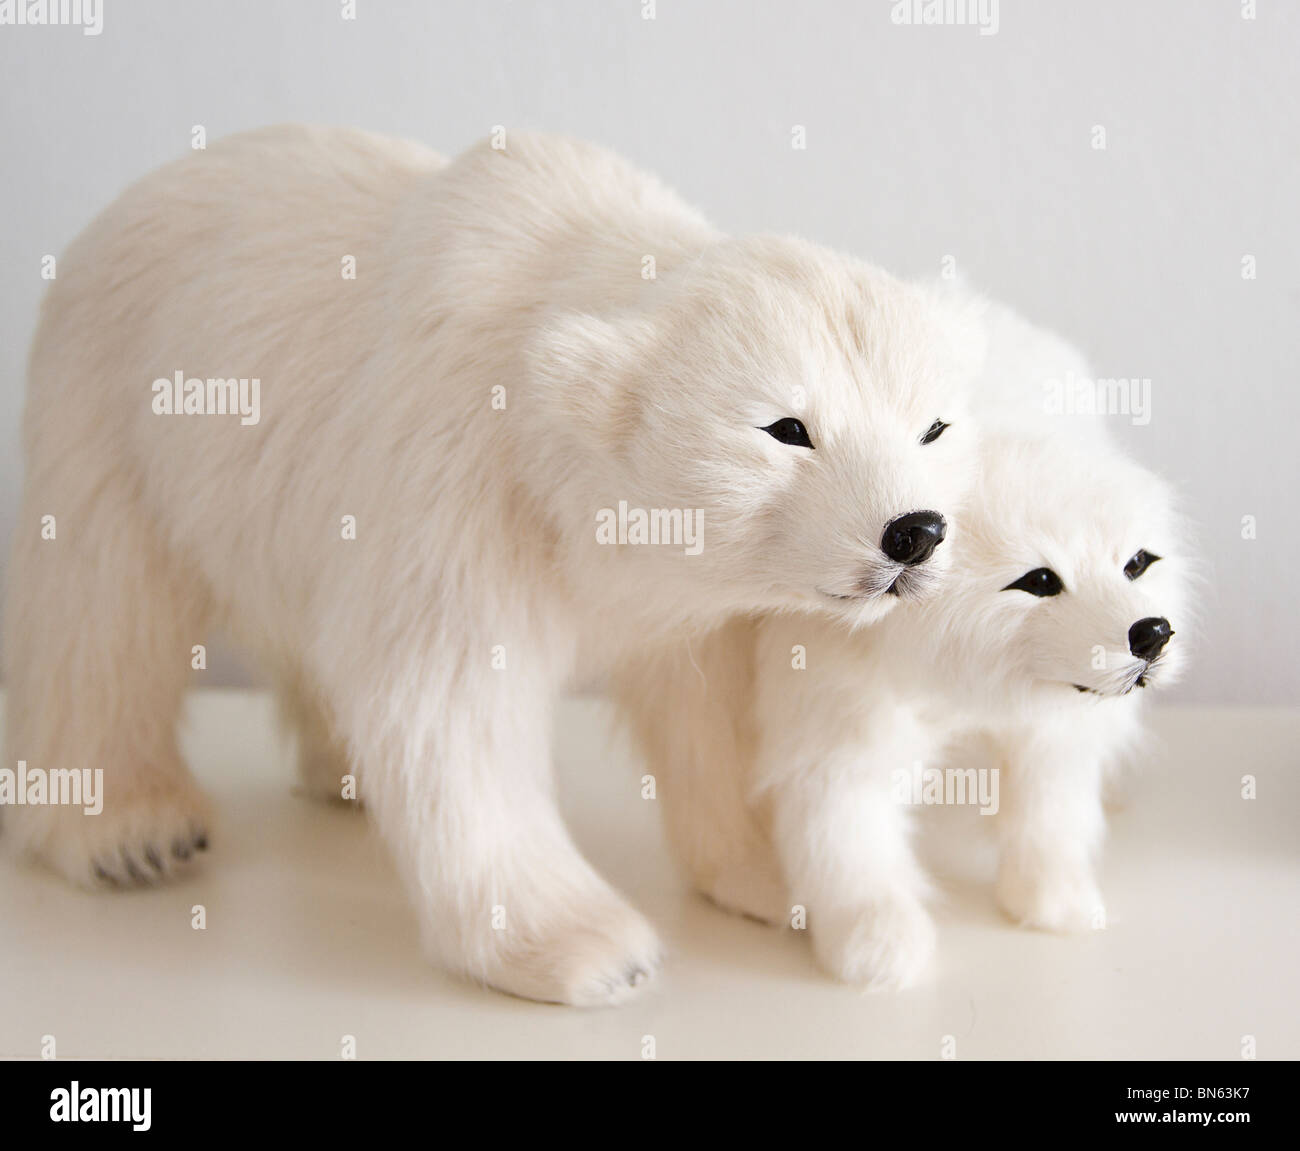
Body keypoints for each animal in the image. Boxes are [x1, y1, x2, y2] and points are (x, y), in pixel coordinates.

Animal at [2, 126, 986, 1004]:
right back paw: (131, 831)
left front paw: (777, 877)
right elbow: (450, 702)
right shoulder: (457, 482)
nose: (915, 530)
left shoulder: (682, 601)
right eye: (787, 427)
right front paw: (596, 952)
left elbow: (711, 707)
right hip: (112, 402)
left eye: (933, 425)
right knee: (105, 612)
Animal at [613, 303, 1191, 990]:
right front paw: (878, 949)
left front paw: (1057, 903)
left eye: (1137, 564)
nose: (1151, 633)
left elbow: (1051, 816)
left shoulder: (1052, 726)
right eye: (1040, 582)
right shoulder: (839, 720)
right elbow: (849, 846)